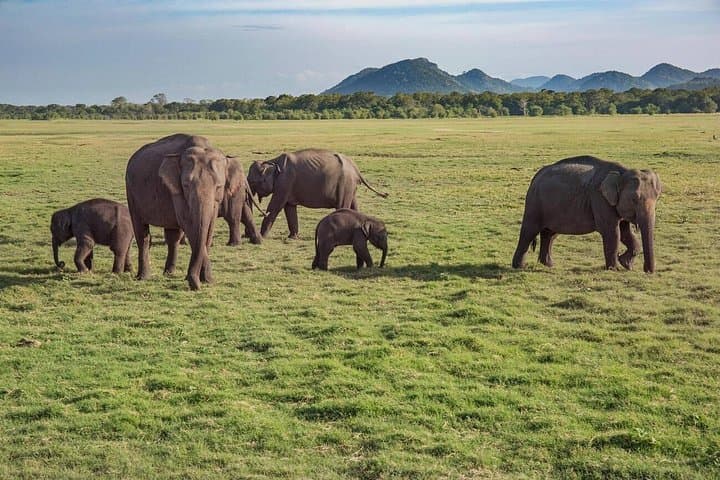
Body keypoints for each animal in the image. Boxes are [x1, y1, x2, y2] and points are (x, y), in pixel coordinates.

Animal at [125, 133, 244, 290]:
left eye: (219, 186)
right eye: (186, 185)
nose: (195, 284)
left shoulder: (215, 200)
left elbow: (208, 228)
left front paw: (207, 280)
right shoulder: (176, 191)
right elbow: (188, 224)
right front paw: (200, 280)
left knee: (172, 236)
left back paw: (169, 273)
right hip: (131, 193)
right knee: (142, 234)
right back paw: (143, 277)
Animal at [247, 149, 388, 239]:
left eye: (252, 182)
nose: (246, 235)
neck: (272, 161)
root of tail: (356, 168)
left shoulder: (284, 182)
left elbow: (275, 206)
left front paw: (262, 236)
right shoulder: (287, 185)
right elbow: (289, 207)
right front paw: (292, 237)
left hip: (345, 183)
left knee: (342, 206)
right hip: (350, 186)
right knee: (354, 205)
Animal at [512, 155, 661, 272]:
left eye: (657, 197)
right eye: (634, 199)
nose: (648, 272)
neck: (622, 172)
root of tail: (535, 177)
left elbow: (626, 233)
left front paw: (626, 264)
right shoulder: (599, 199)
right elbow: (612, 232)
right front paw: (615, 269)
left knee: (550, 234)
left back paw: (548, 265)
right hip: (534, 203)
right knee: (529, 231)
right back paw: (519, 267)